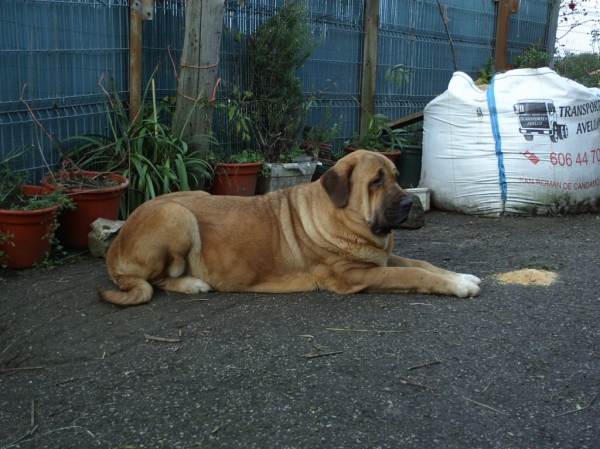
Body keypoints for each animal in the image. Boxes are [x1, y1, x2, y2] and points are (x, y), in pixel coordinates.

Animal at [101, 149, 480, 306]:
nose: (409, 204)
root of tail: (114, 244)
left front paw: (461, 276)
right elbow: (414, 273)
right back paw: (193, 284)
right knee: (158, 280)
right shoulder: (358, 275)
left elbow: (422, 264)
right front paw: (457, 286)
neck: (345, 220)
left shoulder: (378, 260)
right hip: (176, 215)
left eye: (398, 177)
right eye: (376, 181)